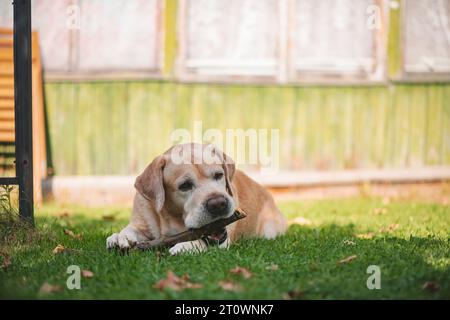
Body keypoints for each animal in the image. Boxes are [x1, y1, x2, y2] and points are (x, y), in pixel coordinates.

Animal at [106, 142, 284, 255]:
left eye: (219, 175)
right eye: (185, 185)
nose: (219, 204)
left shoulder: (223, 242)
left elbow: (202, 243)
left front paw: (184, 246)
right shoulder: (141, 220)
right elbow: (129, 229)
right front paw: (119, 237)